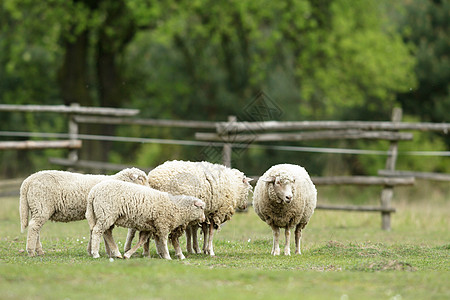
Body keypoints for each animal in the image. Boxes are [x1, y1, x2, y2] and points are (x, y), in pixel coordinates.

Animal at [18, 168, 149, 256]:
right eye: (141, 179)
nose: (150, 189)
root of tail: (29, 179)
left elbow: (95, 231)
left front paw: (93, 251)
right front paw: (107, 252)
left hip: (36, 208)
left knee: (35, 228)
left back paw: (39, 251)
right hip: (42, 206)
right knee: (34, 227)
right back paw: (31, 252)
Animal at [125, 161, 253, 256]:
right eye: (248, 189)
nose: (245, 206)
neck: (235, 186)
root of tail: (153, 178)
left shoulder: (205, 212)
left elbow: (199, 231)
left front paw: (200, 249)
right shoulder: (216, 212)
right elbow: (210, 233)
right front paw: (209, 251)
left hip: (149, 206)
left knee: (140, 229)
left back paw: (144, 251)